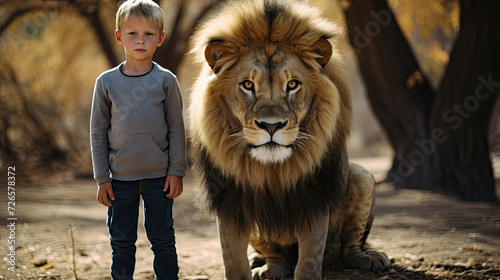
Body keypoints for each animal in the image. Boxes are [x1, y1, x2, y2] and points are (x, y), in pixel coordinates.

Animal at [188, 1, 390, 278]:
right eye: (248, 85)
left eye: (293, 84)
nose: (271, 126)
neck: (273, 170)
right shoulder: (230, 201)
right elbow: (233, 261)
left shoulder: (317, 197)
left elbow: (309, 260)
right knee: (275, 255)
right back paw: (264, 265)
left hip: (362, 177)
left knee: (348, 248)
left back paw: (369, 257)